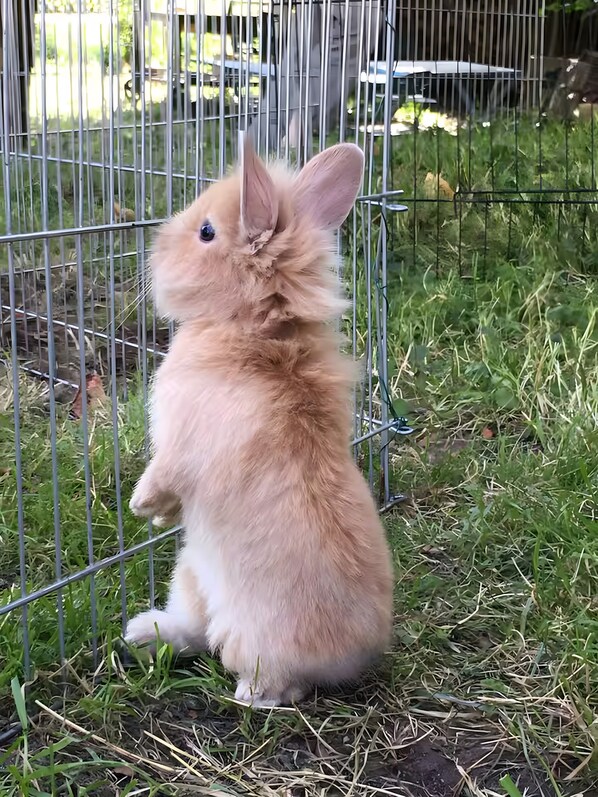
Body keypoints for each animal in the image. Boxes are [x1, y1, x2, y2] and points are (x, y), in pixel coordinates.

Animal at [125, 136, 394, 707]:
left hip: (255, 634)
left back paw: (249, 695)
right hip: (191, 575)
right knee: (193, 630)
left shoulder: (181, 443)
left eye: (206, 232)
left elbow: (164, 475)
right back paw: (141, 633)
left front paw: (141, 508)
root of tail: (357, 658)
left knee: (270, 676)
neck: (256, 330)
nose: (156, 249)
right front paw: (157, 520)